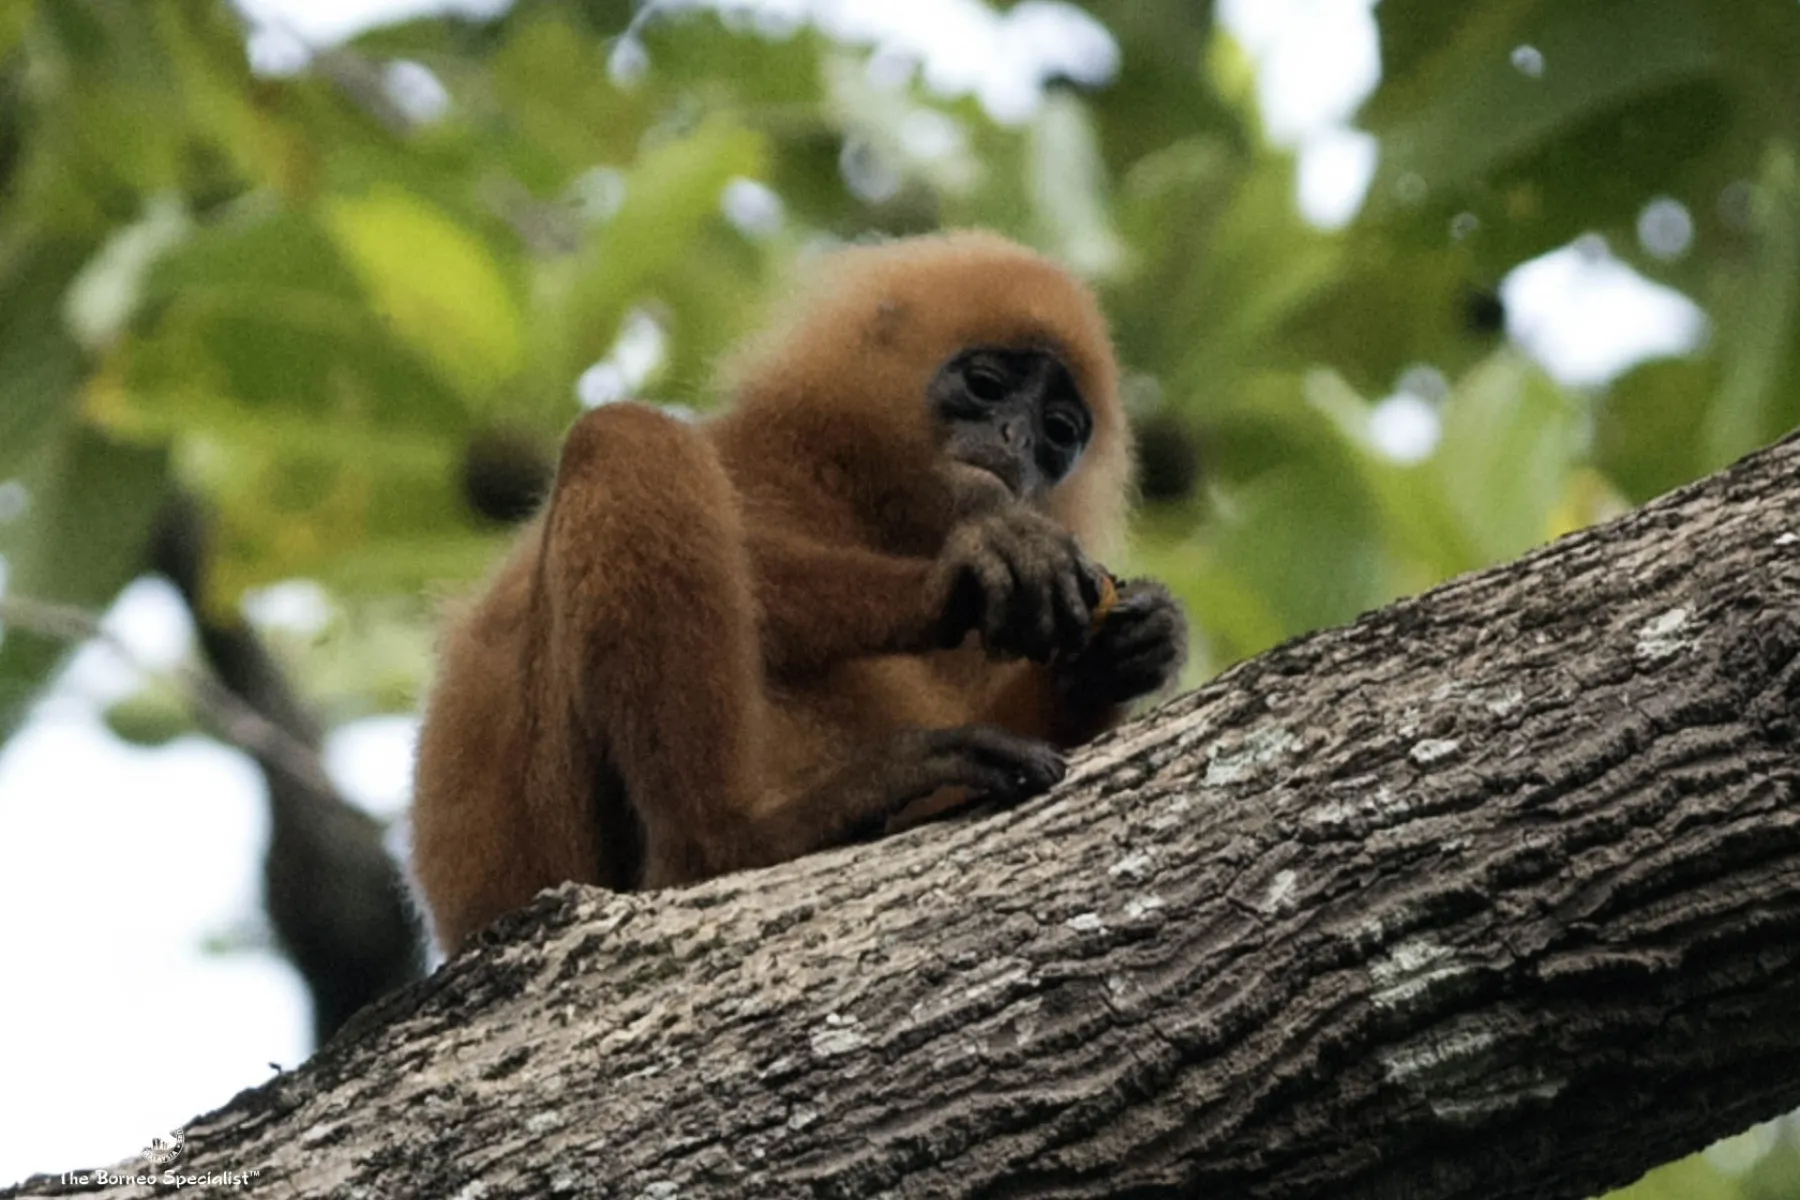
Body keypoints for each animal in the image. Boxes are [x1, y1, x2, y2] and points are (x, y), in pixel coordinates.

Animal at [410, 231, 1187, 953]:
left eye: (1058, 430)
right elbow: (765, 578)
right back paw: (742, 835)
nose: (1016, 439)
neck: (855, 495)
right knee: (625, 437)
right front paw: (956, 577)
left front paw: (1123, 651)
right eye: (988, 384)